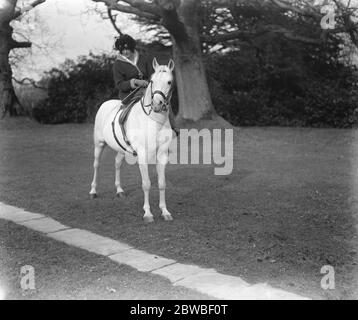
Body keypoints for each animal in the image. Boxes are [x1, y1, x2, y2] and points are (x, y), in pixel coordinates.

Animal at [89, 58, 174, 222]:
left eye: (169, 82)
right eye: (152, 81)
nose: (157, 104)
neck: (153, 120)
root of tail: (105, 103)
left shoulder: (162, 154)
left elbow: (162, 183)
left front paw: (165, 211)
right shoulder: (142, 154)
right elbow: (146, 184)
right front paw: (147, 213)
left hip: (122, 149)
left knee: (117, 163)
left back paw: (119, 190)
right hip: (99, 144)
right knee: (96, 165)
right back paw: (93, 191)